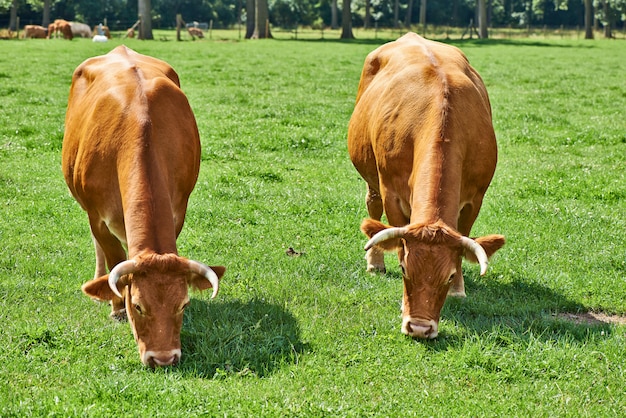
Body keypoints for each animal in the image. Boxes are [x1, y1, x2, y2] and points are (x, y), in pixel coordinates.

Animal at [62, 45, 224, 366]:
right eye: (137, 305)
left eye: (184, 304)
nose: (162, 359)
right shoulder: (98, 218)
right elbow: (113, 257)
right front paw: (115, 308)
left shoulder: (178, 209)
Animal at [348, 32, 504, 340]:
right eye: (404, 269)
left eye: (450, 275)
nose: (419, 328)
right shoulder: (392, 193)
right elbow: (395, 236)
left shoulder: (475, 198)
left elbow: (463, 236)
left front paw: (458, 290)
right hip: (371, 176)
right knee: (372, 207)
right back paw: (375, 261)